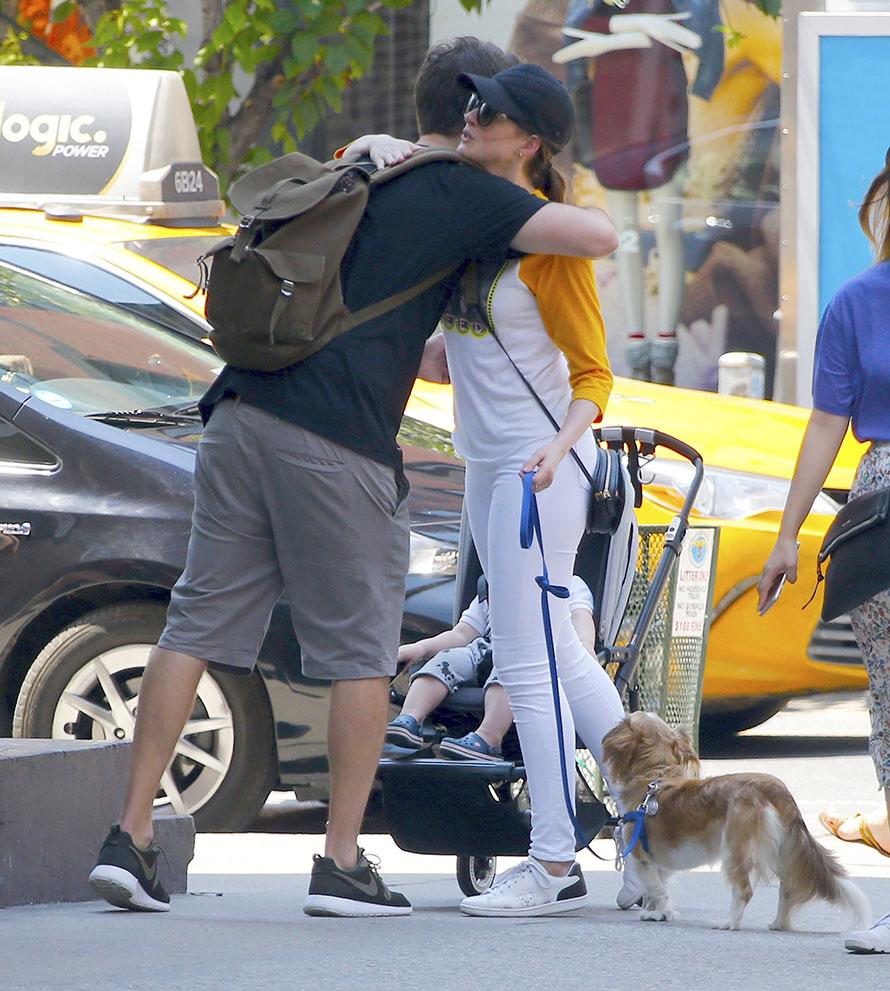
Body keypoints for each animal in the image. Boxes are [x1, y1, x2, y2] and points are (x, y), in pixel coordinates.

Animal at [600, 712, 872, 928]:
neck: (655, 777)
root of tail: (776, 790)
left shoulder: (642, 859)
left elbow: (656, 890)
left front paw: (663, 912)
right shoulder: (658, 863)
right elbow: (659, 888)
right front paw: (656, 913)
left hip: (735, 849)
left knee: (744, 890)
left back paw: (729, 923)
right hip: (783, 851)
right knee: (788, 887)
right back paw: (778, 924)